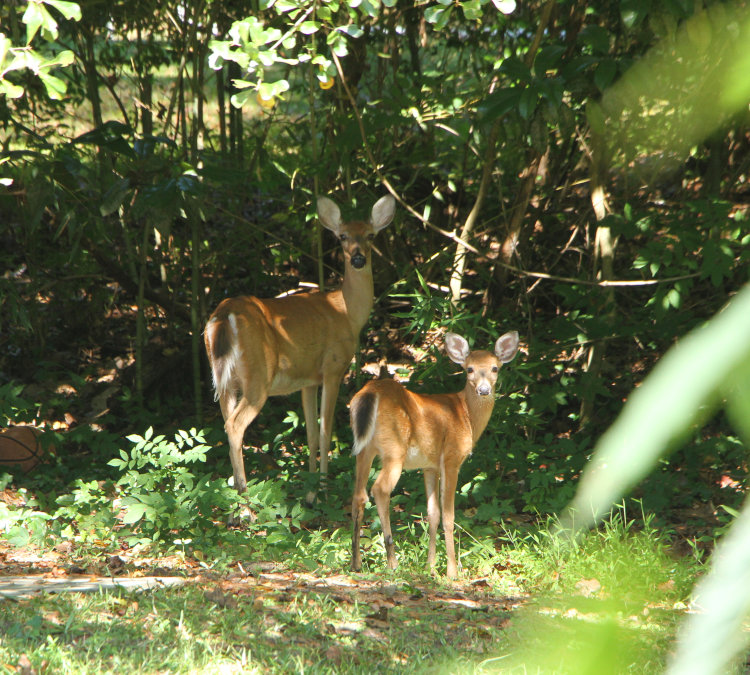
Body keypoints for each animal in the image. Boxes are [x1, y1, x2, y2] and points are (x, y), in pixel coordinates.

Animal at [203, 195, 396, 496]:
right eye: (342, 236)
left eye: (371, 235)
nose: (358, 258)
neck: (347, 313)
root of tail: (224, 315)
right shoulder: (333, 367)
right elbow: (326, 430)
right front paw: (323, 488)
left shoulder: (308, 380)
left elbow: (311, 433)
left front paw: (311, 490)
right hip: (259, 375)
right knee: (234, 425)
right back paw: (244, 498)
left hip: (225, 379)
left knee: (225, 420)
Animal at [352, 330, 516, 580]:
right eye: (469, 369)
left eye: (495, 368)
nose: (484, 390)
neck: (466, 416)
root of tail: (370, 393)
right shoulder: (451, 458)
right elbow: (448, 516)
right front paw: (452, 571)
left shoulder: (429, 466)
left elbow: (432, 514)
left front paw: (430, 567)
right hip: (394, 448)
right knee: (379, 489)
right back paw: (392, 562)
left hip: (364, 449)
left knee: (358, 495)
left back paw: (356, 563)